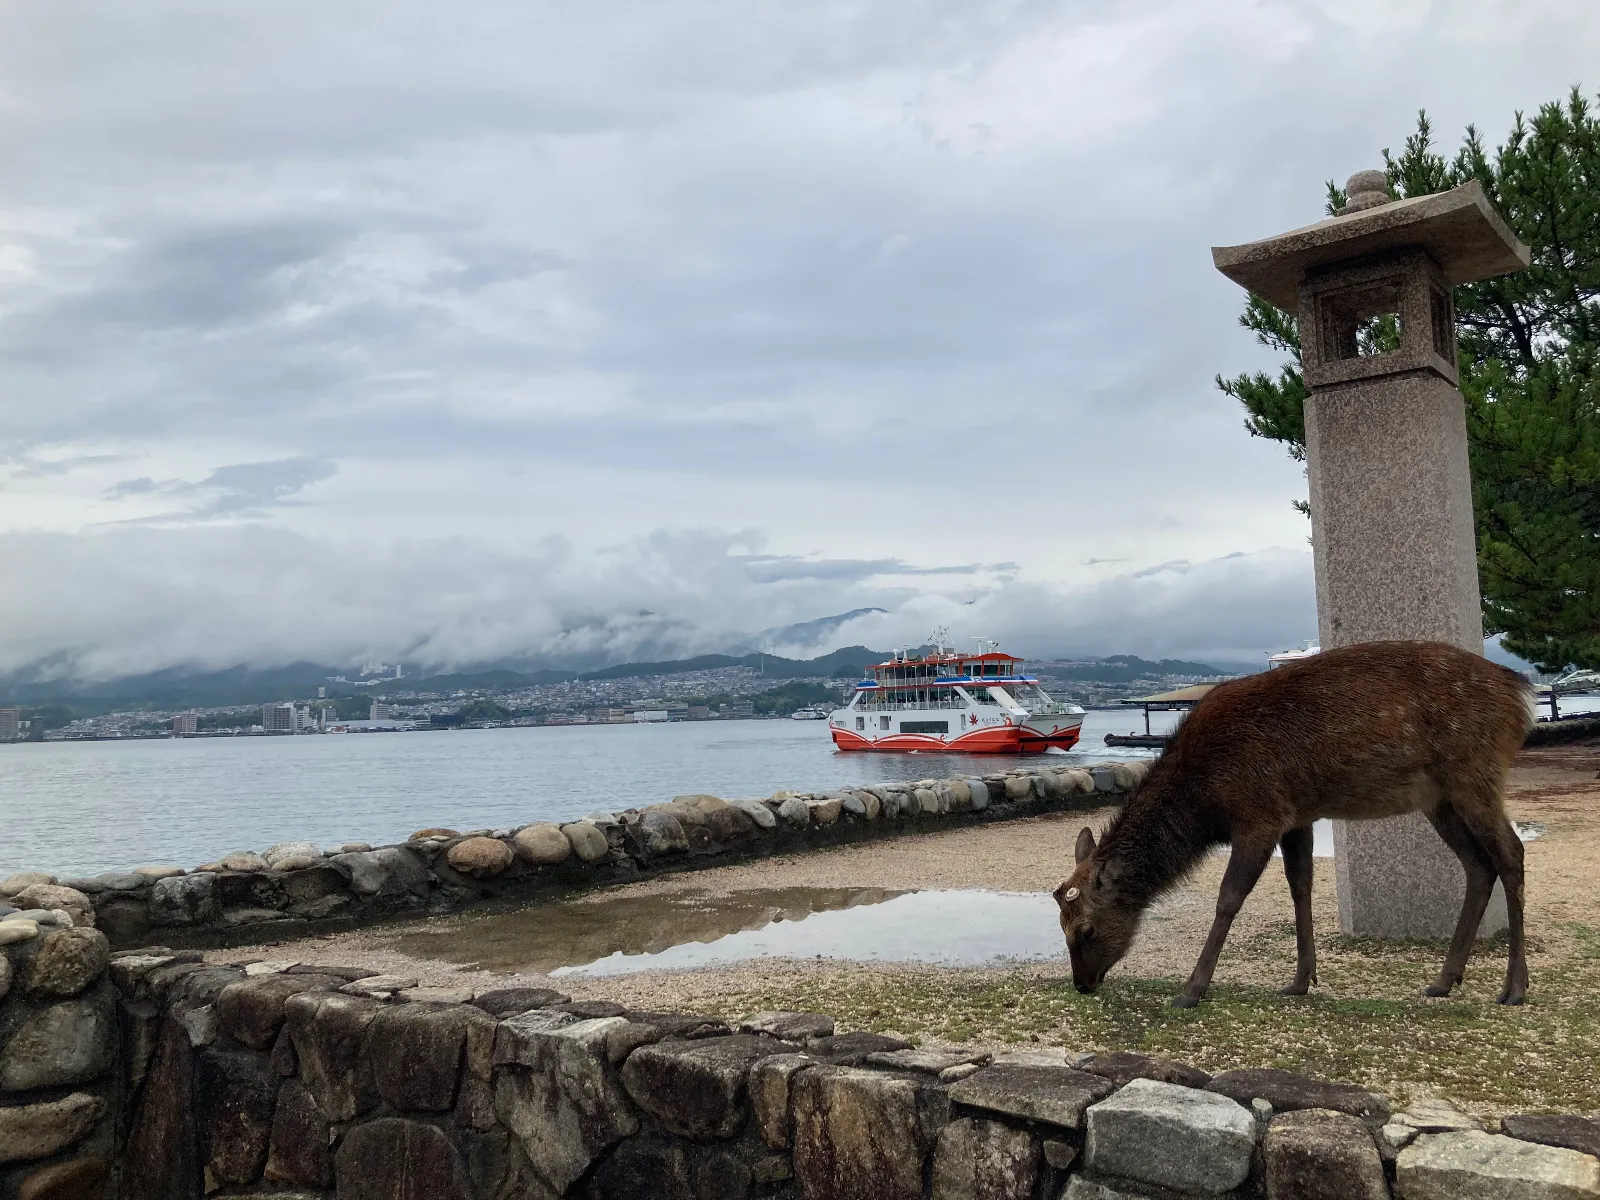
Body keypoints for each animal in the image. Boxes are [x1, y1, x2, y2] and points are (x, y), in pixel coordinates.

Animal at [1053, 640, 1534, 1008]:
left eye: (1085, 930)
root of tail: (1520, 691)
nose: (1082, 984)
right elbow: (1300, 887)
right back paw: (1444, 979)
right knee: (1478, 865)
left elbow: (1228, 898)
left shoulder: (1259, 814)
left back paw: (1514, 987)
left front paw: (1192, 989)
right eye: (1061, 926)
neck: (1203, 801)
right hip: (1439, 798)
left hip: (1475, 771)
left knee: (1511, 853)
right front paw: (1301, 980)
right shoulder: (1295, 817)